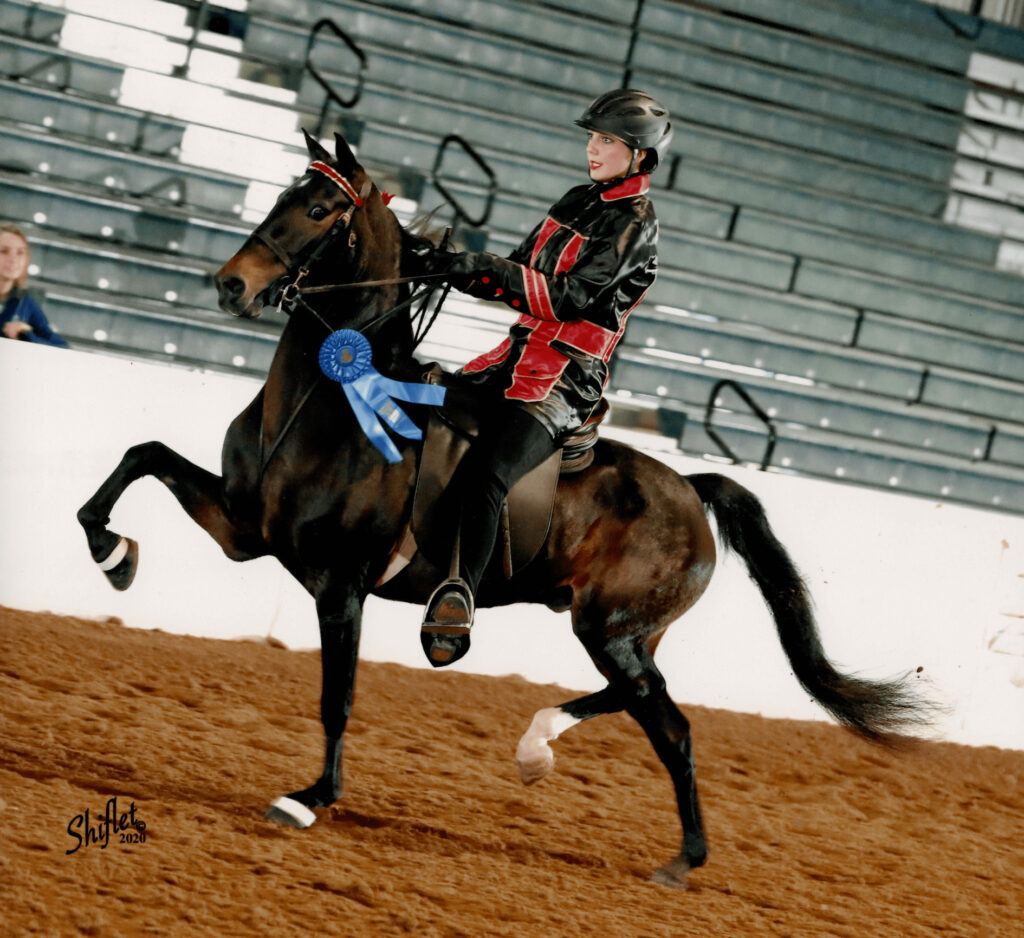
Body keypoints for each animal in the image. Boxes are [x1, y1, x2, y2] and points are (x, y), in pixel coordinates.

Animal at [75, 130, 933, 884]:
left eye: (320, 209)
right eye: (287, 194)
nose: (233, 284)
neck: (327, 405)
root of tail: (692, 487)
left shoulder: (340, 585)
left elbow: (336, 696)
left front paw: (311, 797)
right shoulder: (243, 528)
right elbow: (141, 457)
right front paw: (113, 555)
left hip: (612, 628)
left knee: (664, 717)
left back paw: (617, 803)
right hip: (620, 632)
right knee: (655, 713)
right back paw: (601, 795)